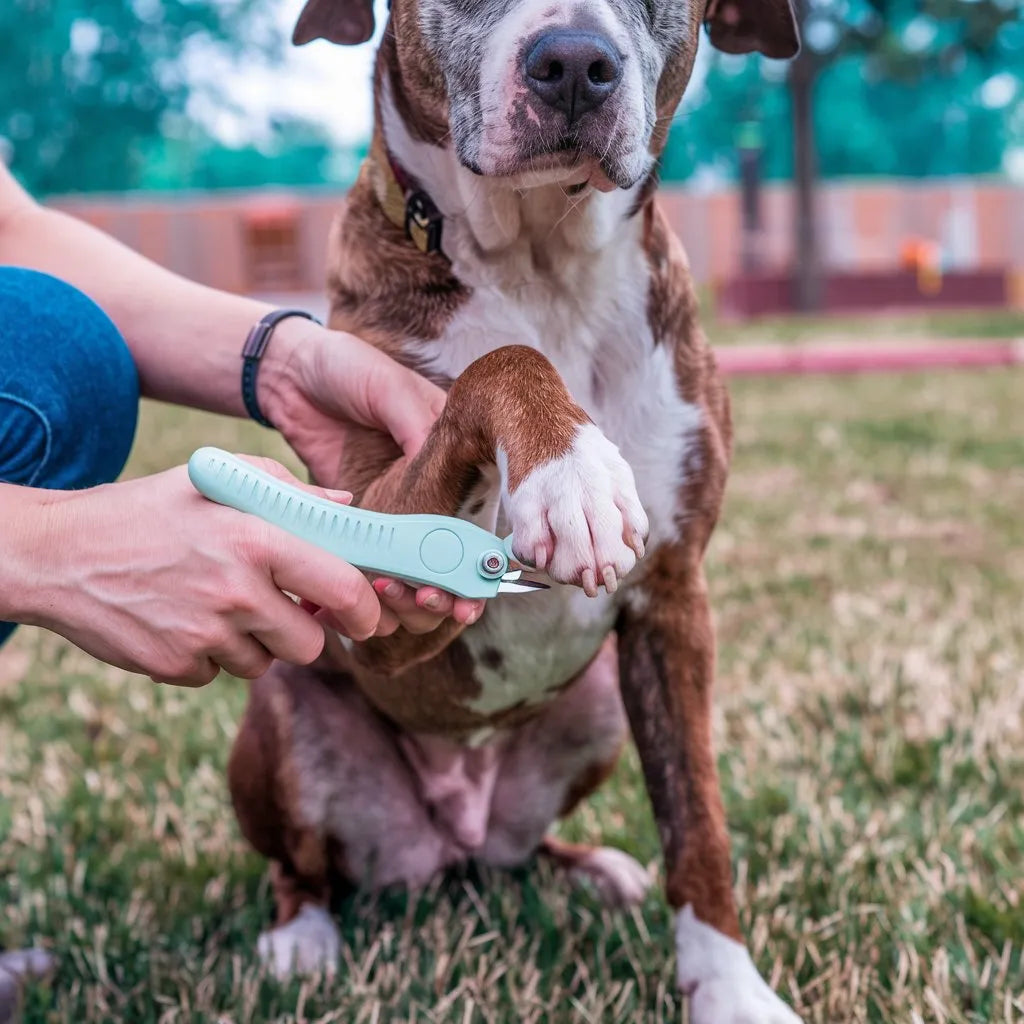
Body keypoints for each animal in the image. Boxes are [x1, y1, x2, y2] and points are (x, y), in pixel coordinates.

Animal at [228, 0, 802, 1018]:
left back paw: (589, 868)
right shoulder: (377, 581)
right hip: (282, 715)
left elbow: (698, 818)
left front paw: (729, 986)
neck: (545, 264)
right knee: (302, 865)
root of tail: (453, 834)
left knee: (525, 850)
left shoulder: (675, 601)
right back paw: (302, 936)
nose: (573, 62)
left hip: (603, 704)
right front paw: (571, 467)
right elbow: (498, 362)